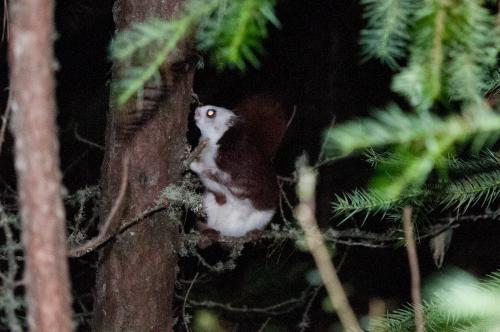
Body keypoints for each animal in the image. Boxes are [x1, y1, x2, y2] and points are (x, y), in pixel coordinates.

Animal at [189, 94, 288, 237]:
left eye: (211, 113)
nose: (196, 110)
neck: (214, 143)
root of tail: (230, 233)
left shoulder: (238, 165)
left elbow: (223, 177)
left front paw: (193, 164)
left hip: (263, 216)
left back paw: (254, 233)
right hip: (209, 204)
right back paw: (210, 232)